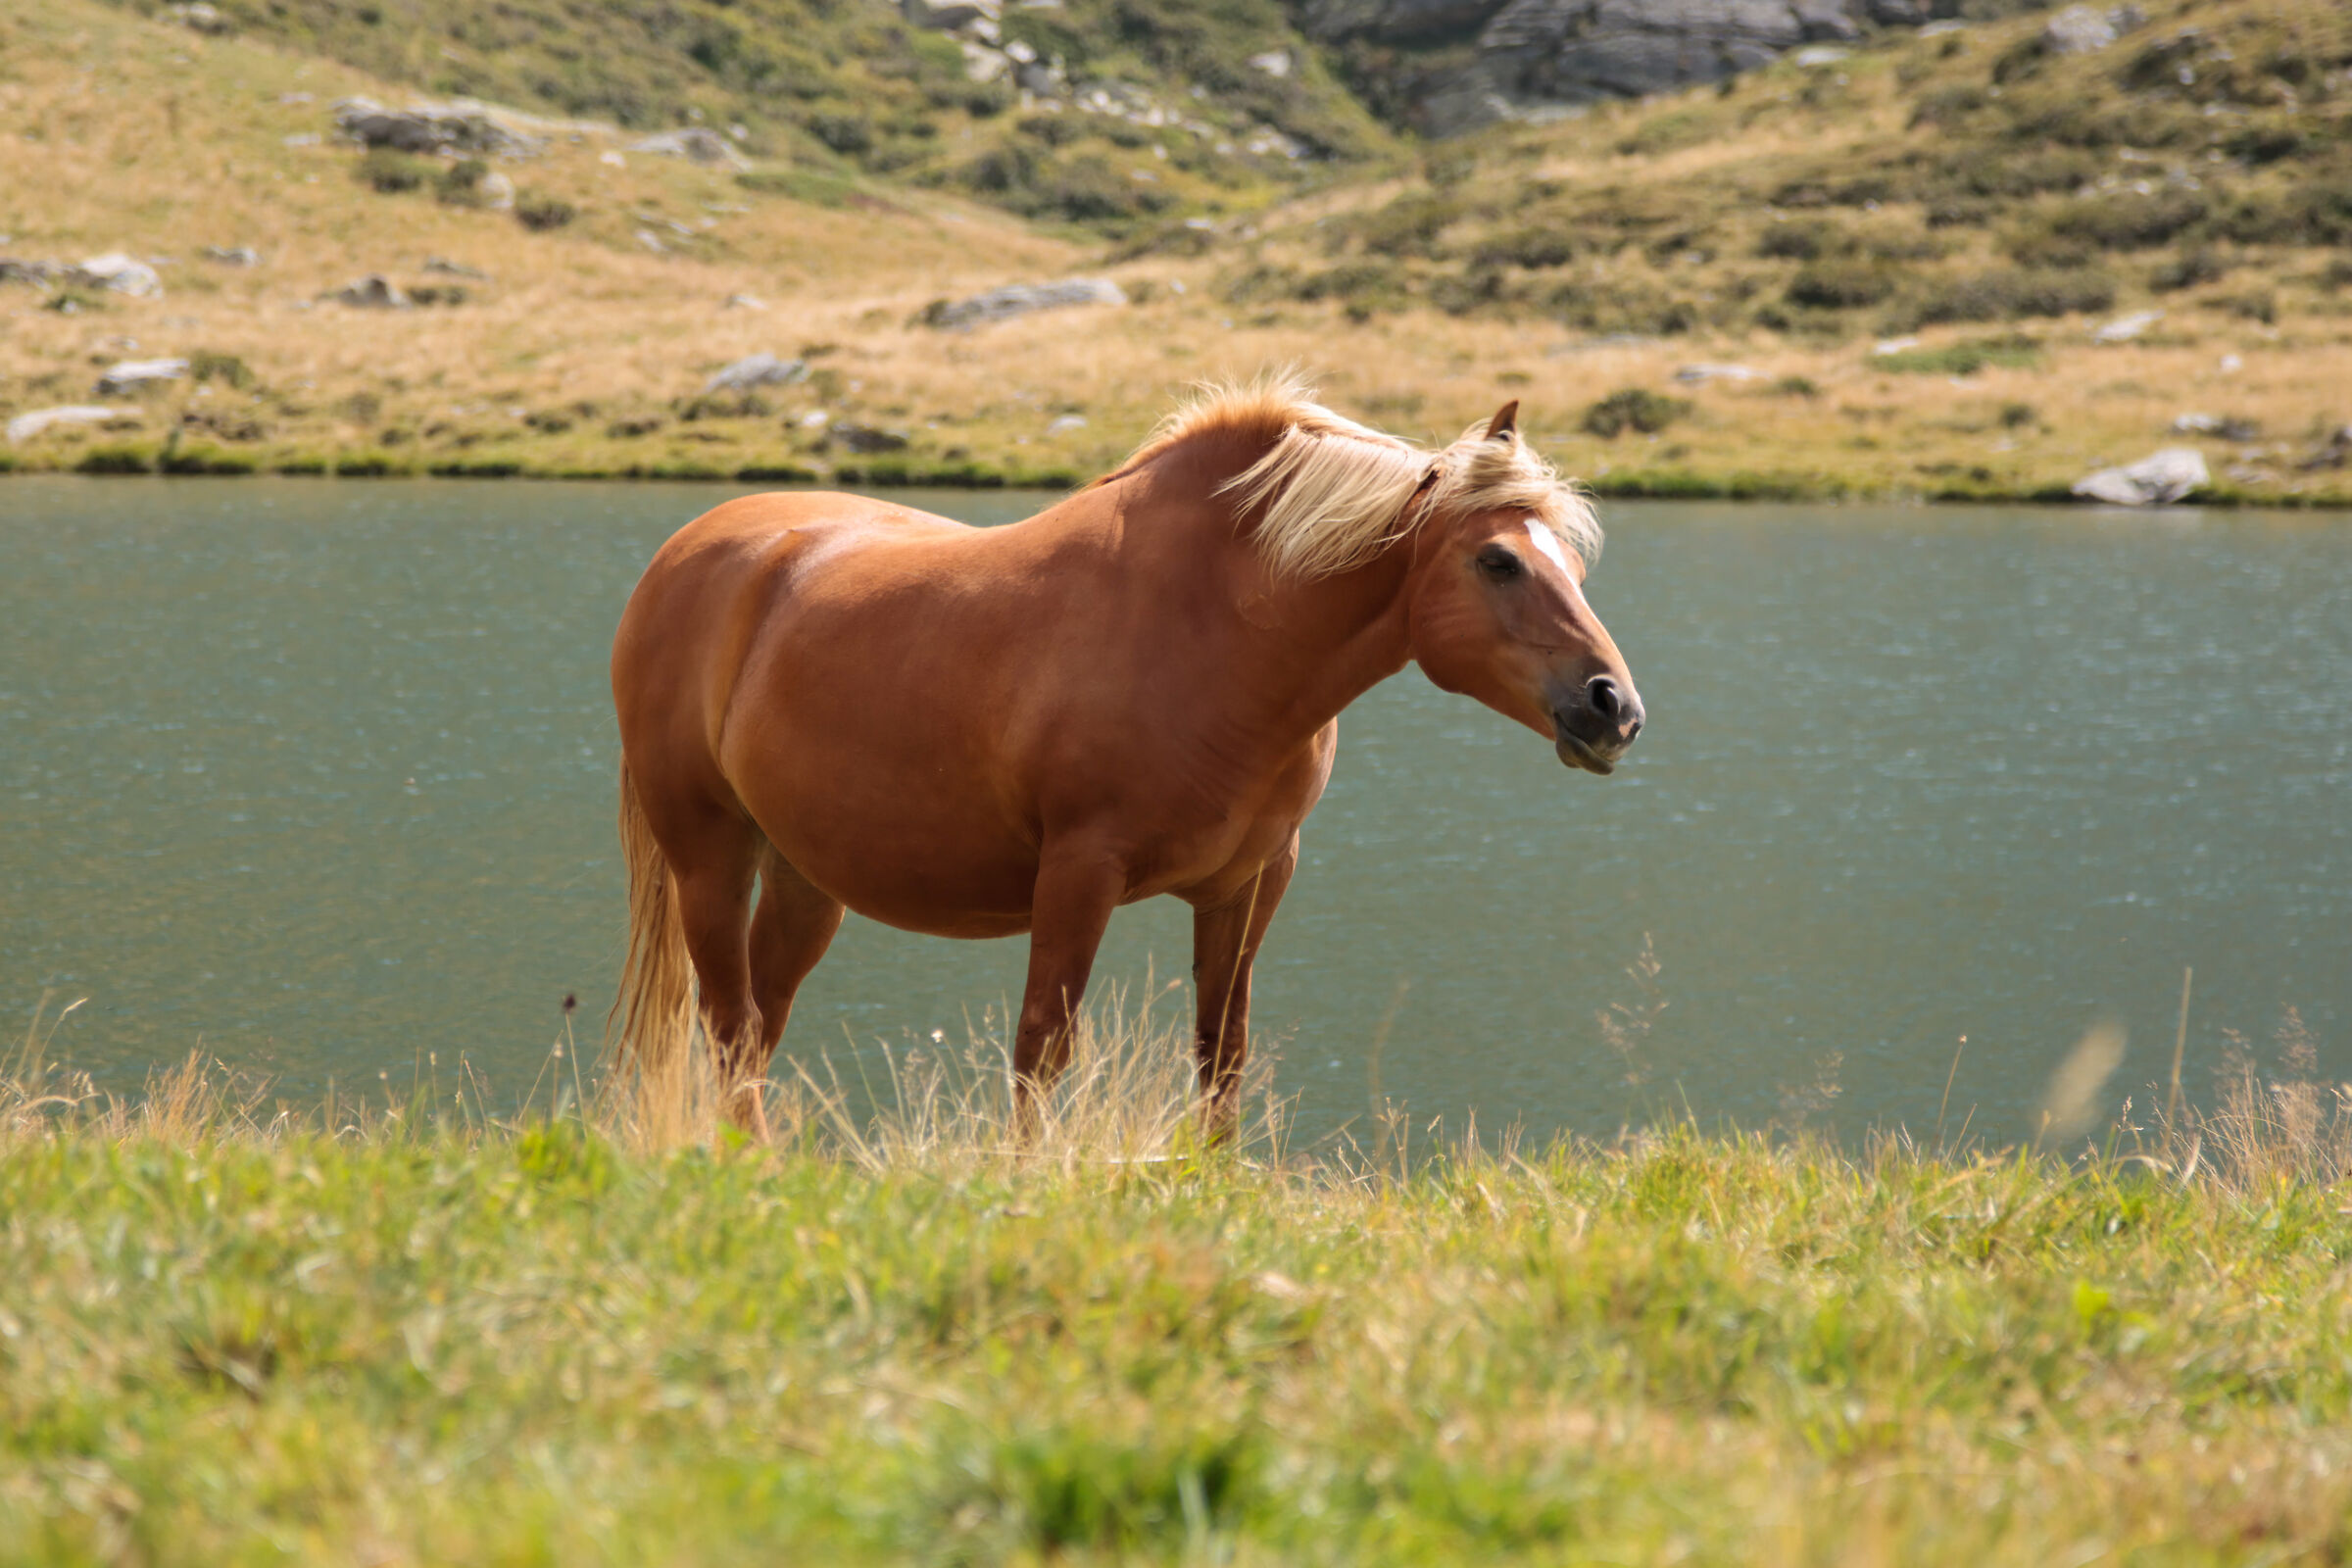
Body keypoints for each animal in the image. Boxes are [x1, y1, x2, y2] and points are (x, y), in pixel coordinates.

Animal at [608, 377, 1645, 1136]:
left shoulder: (1251, 883)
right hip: (709, 857)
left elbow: (1222, 1056)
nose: (1615, 708)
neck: (1210, 628)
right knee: (730, 1023)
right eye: (1498, 561)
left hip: (804, 876)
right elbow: (1041, 1048)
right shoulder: (1079, 873)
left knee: (758, 1030)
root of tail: (686, 553)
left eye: (1571, 561)